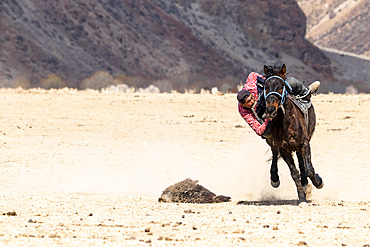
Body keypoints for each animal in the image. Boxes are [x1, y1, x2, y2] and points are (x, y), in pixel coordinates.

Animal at [264, 63, 324, 203]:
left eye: (281, 86)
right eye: (265, 86)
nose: (270, 109)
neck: (286, 123)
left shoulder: (304, 144)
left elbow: (309, 169)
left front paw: (318, 182)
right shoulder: (284, 150)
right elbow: (294, 173)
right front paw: (302, 196)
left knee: (302, 163)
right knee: (274, 153)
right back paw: (275, 178)